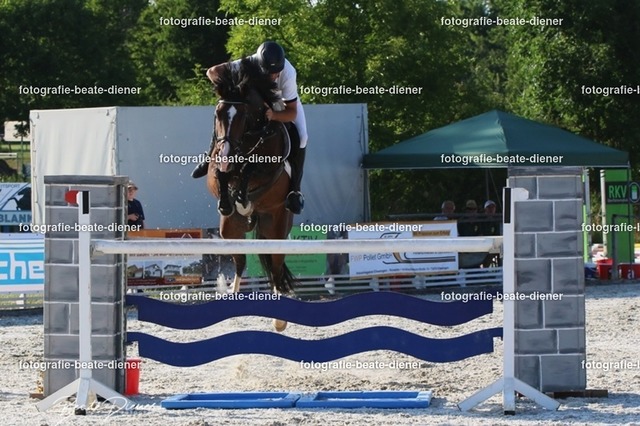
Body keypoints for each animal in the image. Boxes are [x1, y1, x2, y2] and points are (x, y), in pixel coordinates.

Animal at [206, 59, 296, 331]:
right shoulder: (216, 168)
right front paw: (228, 200)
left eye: (243, 116)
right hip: (230, 230)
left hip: (277, 226)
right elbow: (221, 175)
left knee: (276, 268)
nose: (227, 155)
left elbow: (250, 169)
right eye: (218, 114)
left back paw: (279, 320)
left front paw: (243, 197)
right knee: (240, 261)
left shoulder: (268, 170)